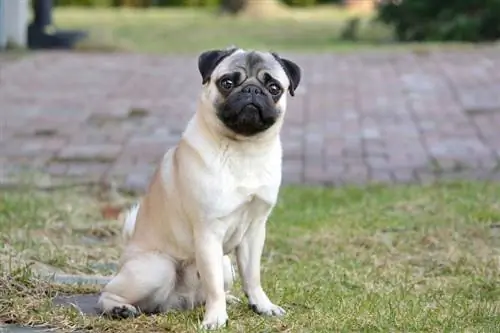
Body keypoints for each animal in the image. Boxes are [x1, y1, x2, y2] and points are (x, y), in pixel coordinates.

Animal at [97, 47, 300, 330]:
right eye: (227, 83)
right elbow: (212, 285)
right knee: (108, 293)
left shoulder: (254, 230)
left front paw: (262, 305)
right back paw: (120, 309)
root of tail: (178, 302)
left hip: (226, 266)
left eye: (273, 88)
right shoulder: (208, 232)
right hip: (156, 268)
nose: (252, 90)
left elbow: (253, 277)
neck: (243, 149)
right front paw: (215, 319)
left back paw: (230, 300)